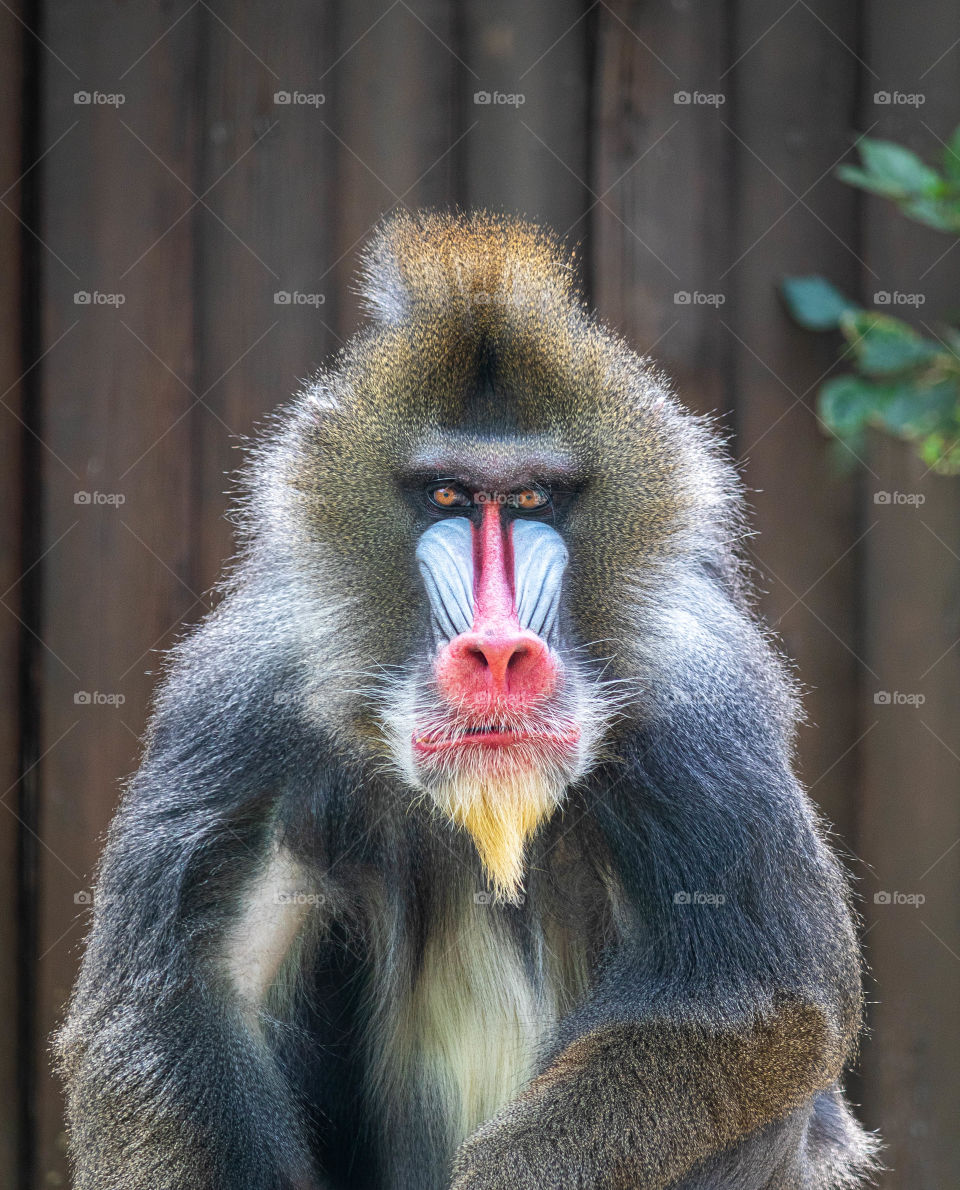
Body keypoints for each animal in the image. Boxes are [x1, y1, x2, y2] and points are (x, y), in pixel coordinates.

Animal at [57, 210, 879, 1190]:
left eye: (529, 499)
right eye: (448, 495)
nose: (496, 653)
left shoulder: (704, 711)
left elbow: (758, 1003)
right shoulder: (240, 703)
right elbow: (178, 1005)